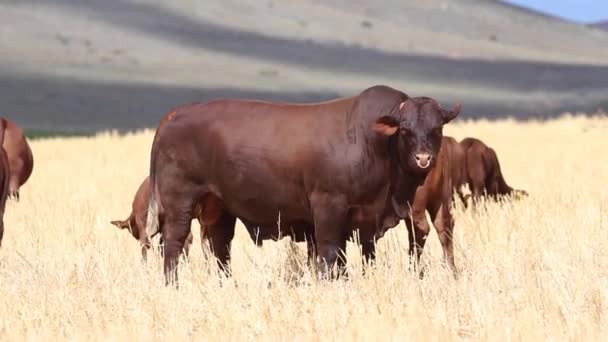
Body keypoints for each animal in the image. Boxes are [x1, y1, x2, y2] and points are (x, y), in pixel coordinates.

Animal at [146, 85, 460, 284]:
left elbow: (350, 258)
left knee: (221, 248)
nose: (423, 159)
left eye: (436, 128)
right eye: (405, 130)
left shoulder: (361, 222)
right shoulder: (329, 208)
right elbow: (329, 254)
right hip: (180, 204)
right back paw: (172, 285)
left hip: (220, 209)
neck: (374, 143)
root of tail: (177, 113)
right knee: (173, 243)